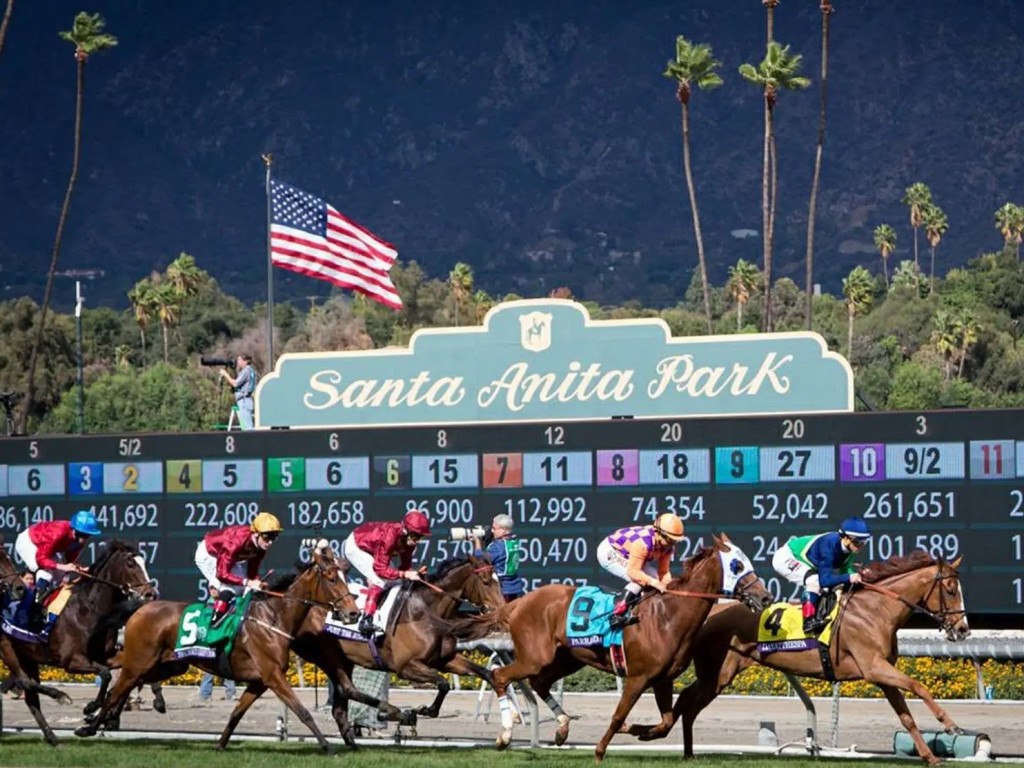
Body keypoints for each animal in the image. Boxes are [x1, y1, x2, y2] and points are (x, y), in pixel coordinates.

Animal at [0, 540, 155, 745]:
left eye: (143, 562)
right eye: (130, 563)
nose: (150, 594)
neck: (90, 609)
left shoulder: (106, 656)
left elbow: (123, 676)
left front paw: (101, 714)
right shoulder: (71, 661)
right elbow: (105, 674)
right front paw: (91, 707)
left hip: (27, 656)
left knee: (31, 696)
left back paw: (53, 738)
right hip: (7, 649)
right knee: (25, 682)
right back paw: (61, 697)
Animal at [74, 544, 360, 753]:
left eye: (345, 577)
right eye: (332, 578)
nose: (353, 613)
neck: (273, 617)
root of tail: (141, 608)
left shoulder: (259, 681)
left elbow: (236, 713)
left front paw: (221, 744)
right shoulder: (273, 676)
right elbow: (302, 711)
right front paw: (327, 746)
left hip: (167, 666)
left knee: (127, 685)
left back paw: (104, 716)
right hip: (140, 660)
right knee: (118, 687)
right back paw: (90, 724)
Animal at [468, 536, 770, 765]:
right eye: (737, 565)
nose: (765, 596)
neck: (667, 616)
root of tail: (518, 603)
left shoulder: (663, 679)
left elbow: (666, 721)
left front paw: (640, 733)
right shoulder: (638, 678)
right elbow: (618, 715)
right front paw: (600, 751)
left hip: (568, 659)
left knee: (538, 683)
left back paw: (562, 728)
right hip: (535, 657)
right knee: (501, 676)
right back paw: (505, 736)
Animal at [630, 548, 966, 765]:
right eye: (950, 589)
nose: (962, 630)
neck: (875, 610)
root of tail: (710, 613)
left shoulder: (883, 674)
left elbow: (906, 716)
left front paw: (931, 756)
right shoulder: (873, 667)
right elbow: (919, 686)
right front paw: (952, 726)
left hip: (717, 675)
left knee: (688, 703)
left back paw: (685, 750)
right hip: (718, 673)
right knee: (687, 702)